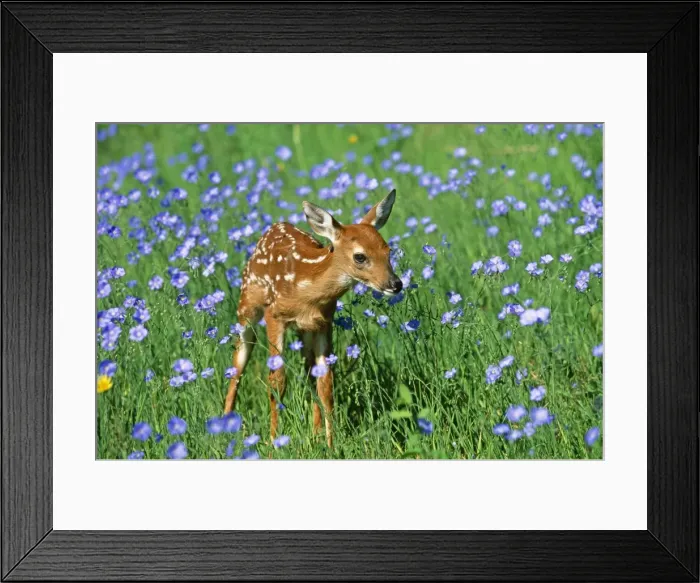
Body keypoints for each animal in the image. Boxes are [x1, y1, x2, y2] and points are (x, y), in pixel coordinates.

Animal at [223, 189, 402, 448]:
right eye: (360, 257)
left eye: (388, 251)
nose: (395, 284)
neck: (307, 291)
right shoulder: (274, 315)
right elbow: (277, 381)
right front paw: (274, 442)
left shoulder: (324, 322)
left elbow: (326, 383)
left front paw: (330, 444)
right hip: (246, 307)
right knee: (237, 365)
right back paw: (224, 426)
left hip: (304, 332)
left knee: (310, 373)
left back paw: (315, 434)